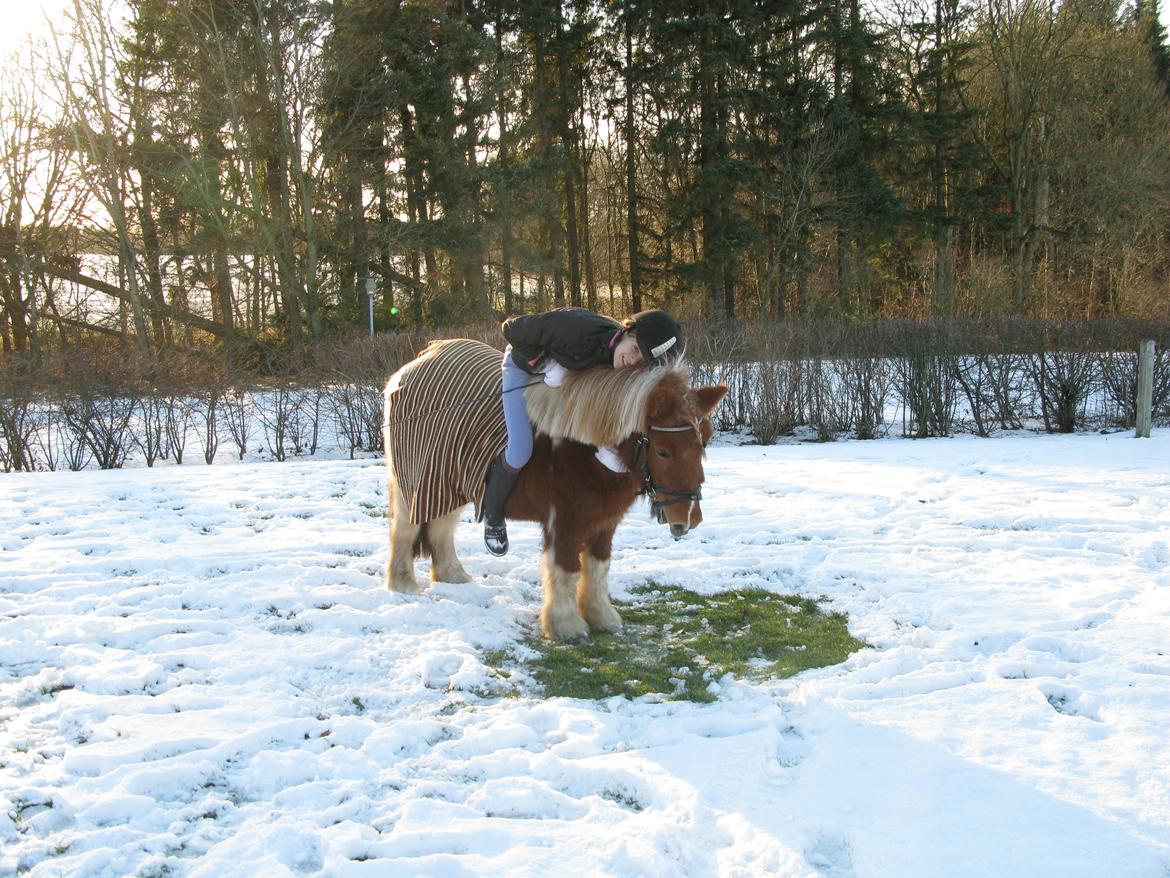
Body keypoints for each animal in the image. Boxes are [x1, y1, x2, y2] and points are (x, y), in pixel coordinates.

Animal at [382, 338, 728, 641]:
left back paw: (453, 576)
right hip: (414, 483)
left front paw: (602, 617)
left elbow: (598, 568)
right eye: (664, 451)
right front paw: (566, 626)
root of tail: (407, 370)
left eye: (705, 440)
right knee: (404, 530)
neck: (590, 449)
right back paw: (403, 584)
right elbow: (566, 570)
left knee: (440, 529)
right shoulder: (564, 522)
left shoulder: (604, 523)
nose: (689, 517)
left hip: (449, 484)